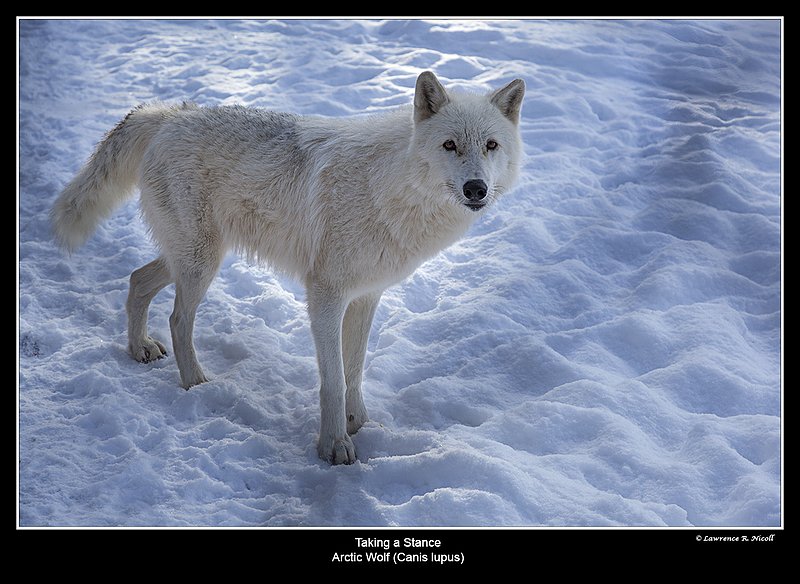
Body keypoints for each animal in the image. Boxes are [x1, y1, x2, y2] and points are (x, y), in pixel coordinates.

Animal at [51, 71, 525, 464]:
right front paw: (334, 446)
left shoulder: (367, 297)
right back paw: (194, 383)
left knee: (136, 281)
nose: (476, 188)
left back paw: (139, 349)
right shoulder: (325, 296)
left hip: (191, 258)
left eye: (491, 146)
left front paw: (357, 423)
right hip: (200, 263)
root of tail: (170, 113)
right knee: (177, 317)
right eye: (449, 145)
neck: (390, 188)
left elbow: (354, 371)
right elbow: (333, 380)